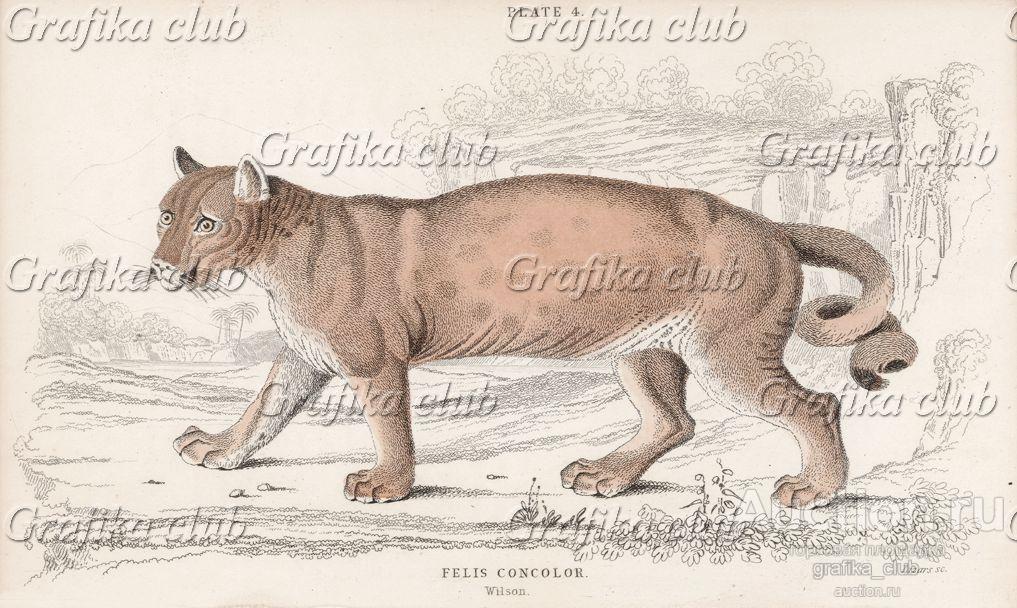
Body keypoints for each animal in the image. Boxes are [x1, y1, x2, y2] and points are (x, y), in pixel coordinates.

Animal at [154, 147, 916, 507]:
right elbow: (263, 410)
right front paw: (219, 449)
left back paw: (814, 490)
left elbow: (389, 425)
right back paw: (605, 475)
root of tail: (771, 226)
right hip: (644, 352)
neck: (280, 254)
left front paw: (388, 485)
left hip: (728, 356)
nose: (160, 266)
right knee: (673, 421)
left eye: (207, 223)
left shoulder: (374, 362)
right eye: (165, 213)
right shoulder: (303, 358)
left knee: (815, 405)